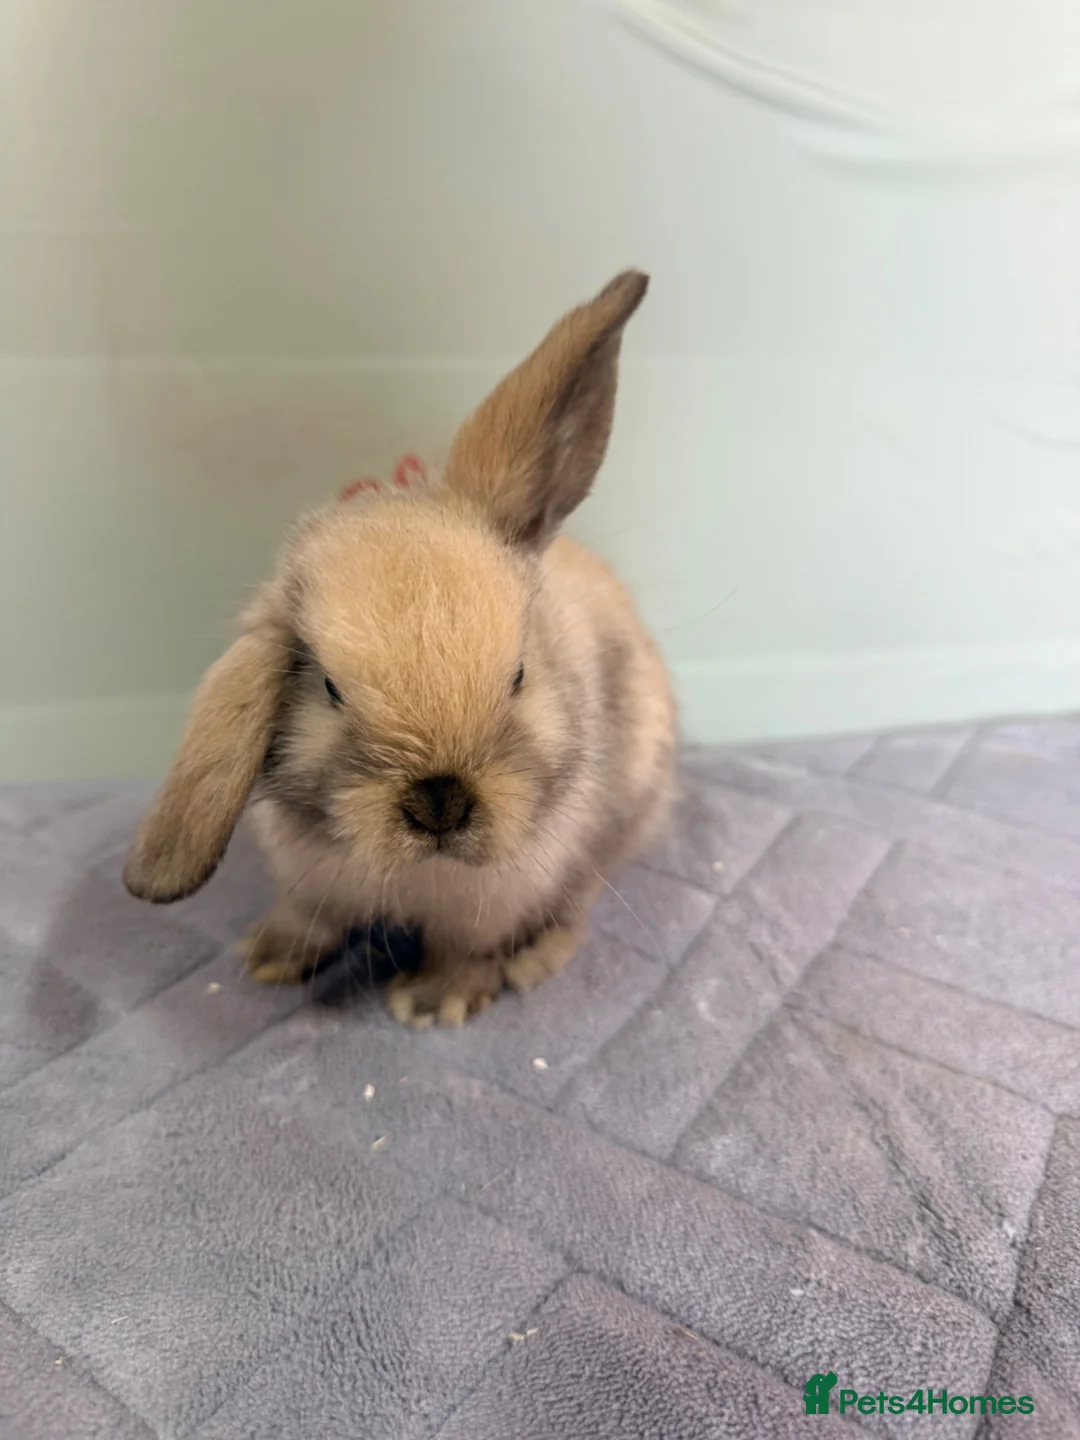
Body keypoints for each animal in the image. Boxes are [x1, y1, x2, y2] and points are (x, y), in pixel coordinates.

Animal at [123, 270, 677, 1027]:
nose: (440, 802)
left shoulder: (496, 900)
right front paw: (269, 959)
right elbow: (309, 918)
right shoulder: (306, 882)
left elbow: (464, 950)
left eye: (519, 675)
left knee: (577, 910)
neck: (418, 876)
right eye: (329, 688)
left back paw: (535, 961)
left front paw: (434, 1003)